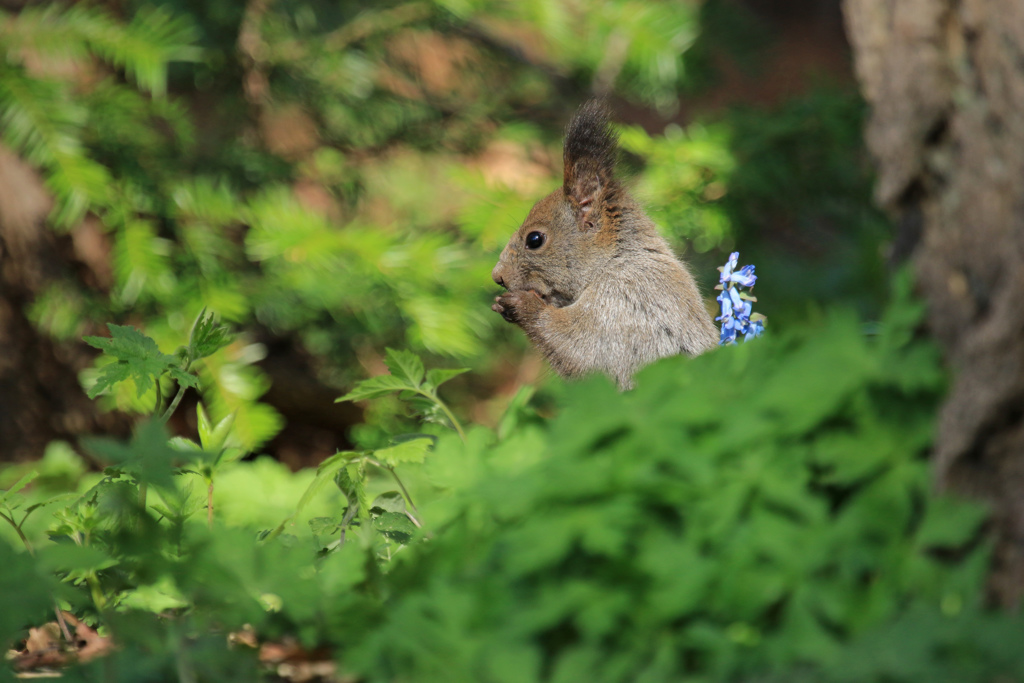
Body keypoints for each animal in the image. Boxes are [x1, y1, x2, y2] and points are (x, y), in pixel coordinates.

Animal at [489, 100, 716, 389]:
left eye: (534, 240)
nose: (498, 276)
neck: (613, 261)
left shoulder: (623, 304)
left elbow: (580, 348)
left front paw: (522, 305)